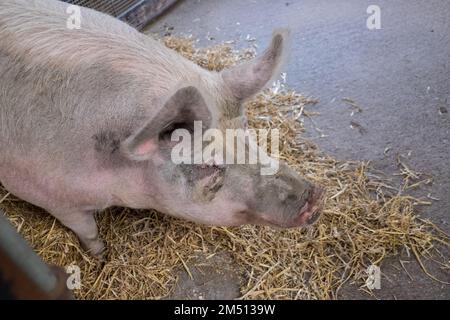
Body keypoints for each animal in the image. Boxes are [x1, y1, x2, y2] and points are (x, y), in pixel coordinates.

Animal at [0, 0, 324, 256]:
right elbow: (87, 229)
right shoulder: (48, 194)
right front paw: (101, 255)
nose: (313, 195)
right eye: (208, 163)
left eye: (245, 130)